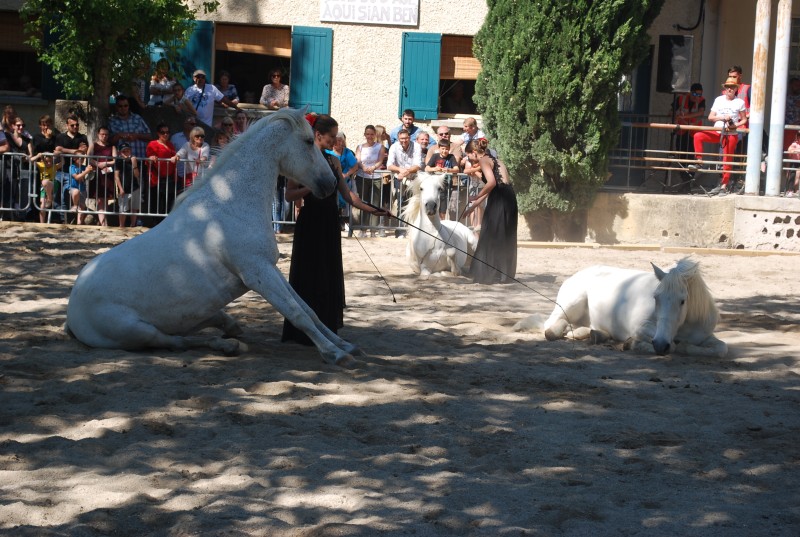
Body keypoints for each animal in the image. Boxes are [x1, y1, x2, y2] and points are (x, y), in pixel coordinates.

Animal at [67, 109, 364, 368]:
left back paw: (231, 334)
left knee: (195, 328)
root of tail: (72, 313)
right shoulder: (257, 274)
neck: (229, 204)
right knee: (172, 342)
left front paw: (344, 345)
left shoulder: (270, 268)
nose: (330, 184)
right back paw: (228, 344)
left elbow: (308, 308)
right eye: (309, 141)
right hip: (136, 331)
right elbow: (296, 312)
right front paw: (336, 354)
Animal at [516, 258, 728, 356]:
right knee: (551, 324)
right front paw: (632, 344)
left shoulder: (705, 336)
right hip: (570, 304)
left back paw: (594, 334)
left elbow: (721, 348)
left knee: (577, 327)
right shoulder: (641, 328)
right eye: (656, 298)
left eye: (682, 301)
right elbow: (672, 346)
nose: (661, 344)